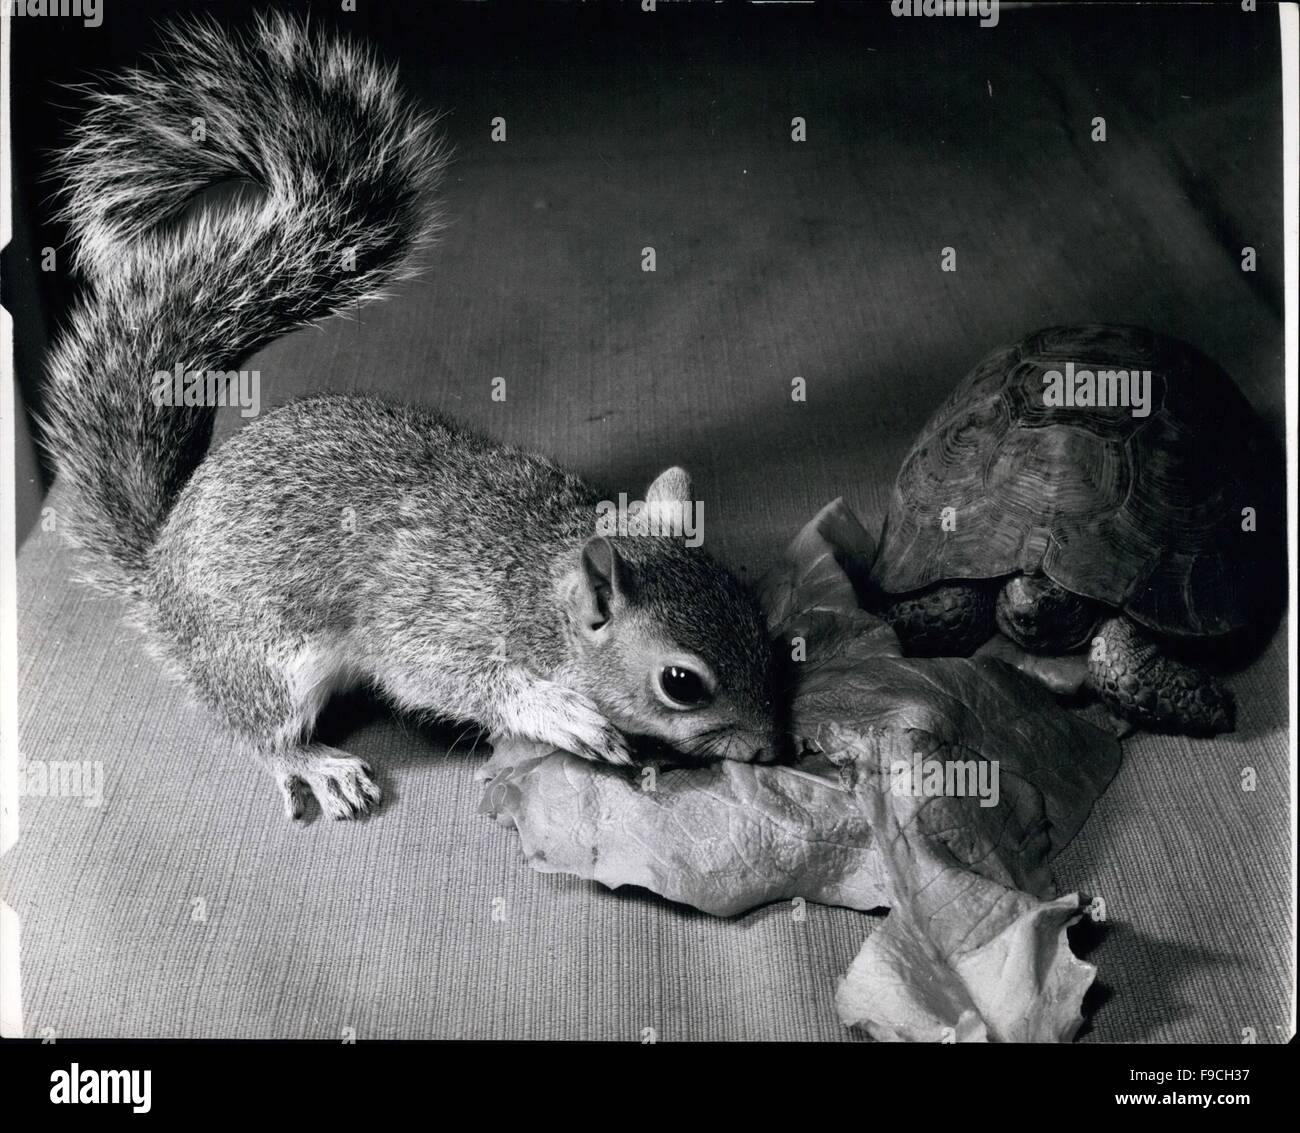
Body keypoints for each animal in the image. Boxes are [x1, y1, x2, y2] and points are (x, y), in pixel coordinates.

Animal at [40, 15, 779, 821]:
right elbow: (439, 677)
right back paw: (314, 762)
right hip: (265, 657)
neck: (536, 582)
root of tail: (157, 569)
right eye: (682, 683)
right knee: (257, 729)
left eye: (752, 606)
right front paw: (558, 711)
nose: (774, 747)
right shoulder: (437, 621)